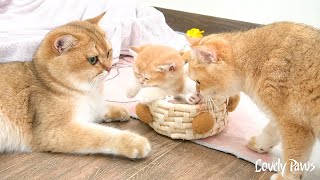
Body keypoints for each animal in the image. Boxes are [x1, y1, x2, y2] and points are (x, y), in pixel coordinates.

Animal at [0, 12, 151, 159]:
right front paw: (135, 142)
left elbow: (100, 108)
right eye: (93, 59)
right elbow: (101, 135)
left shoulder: (89, 108)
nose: (109, 68)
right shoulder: (57, 130)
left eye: (109, 52)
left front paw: (120, 110)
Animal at [186, 21, 320, 179]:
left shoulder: (295, 124)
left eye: (198, 82)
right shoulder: (279, 116)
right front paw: (260, 145)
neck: (257, 60)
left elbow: (294, 157)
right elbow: (270, 131)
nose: (197, 92)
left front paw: (286, 177)